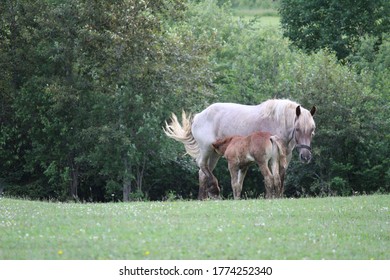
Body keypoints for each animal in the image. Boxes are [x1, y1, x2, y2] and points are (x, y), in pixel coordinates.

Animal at [163, 98, 316, 199]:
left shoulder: (285, 156)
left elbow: (281, 177)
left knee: (203, 172)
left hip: (214, 154)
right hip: (207, 149)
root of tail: (198, 116)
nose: (306, 156)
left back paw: (203, 198)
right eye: (298, 129)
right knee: (201, 165)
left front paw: (279, 196)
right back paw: (214, 189)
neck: (277, 121)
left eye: (312, 130)